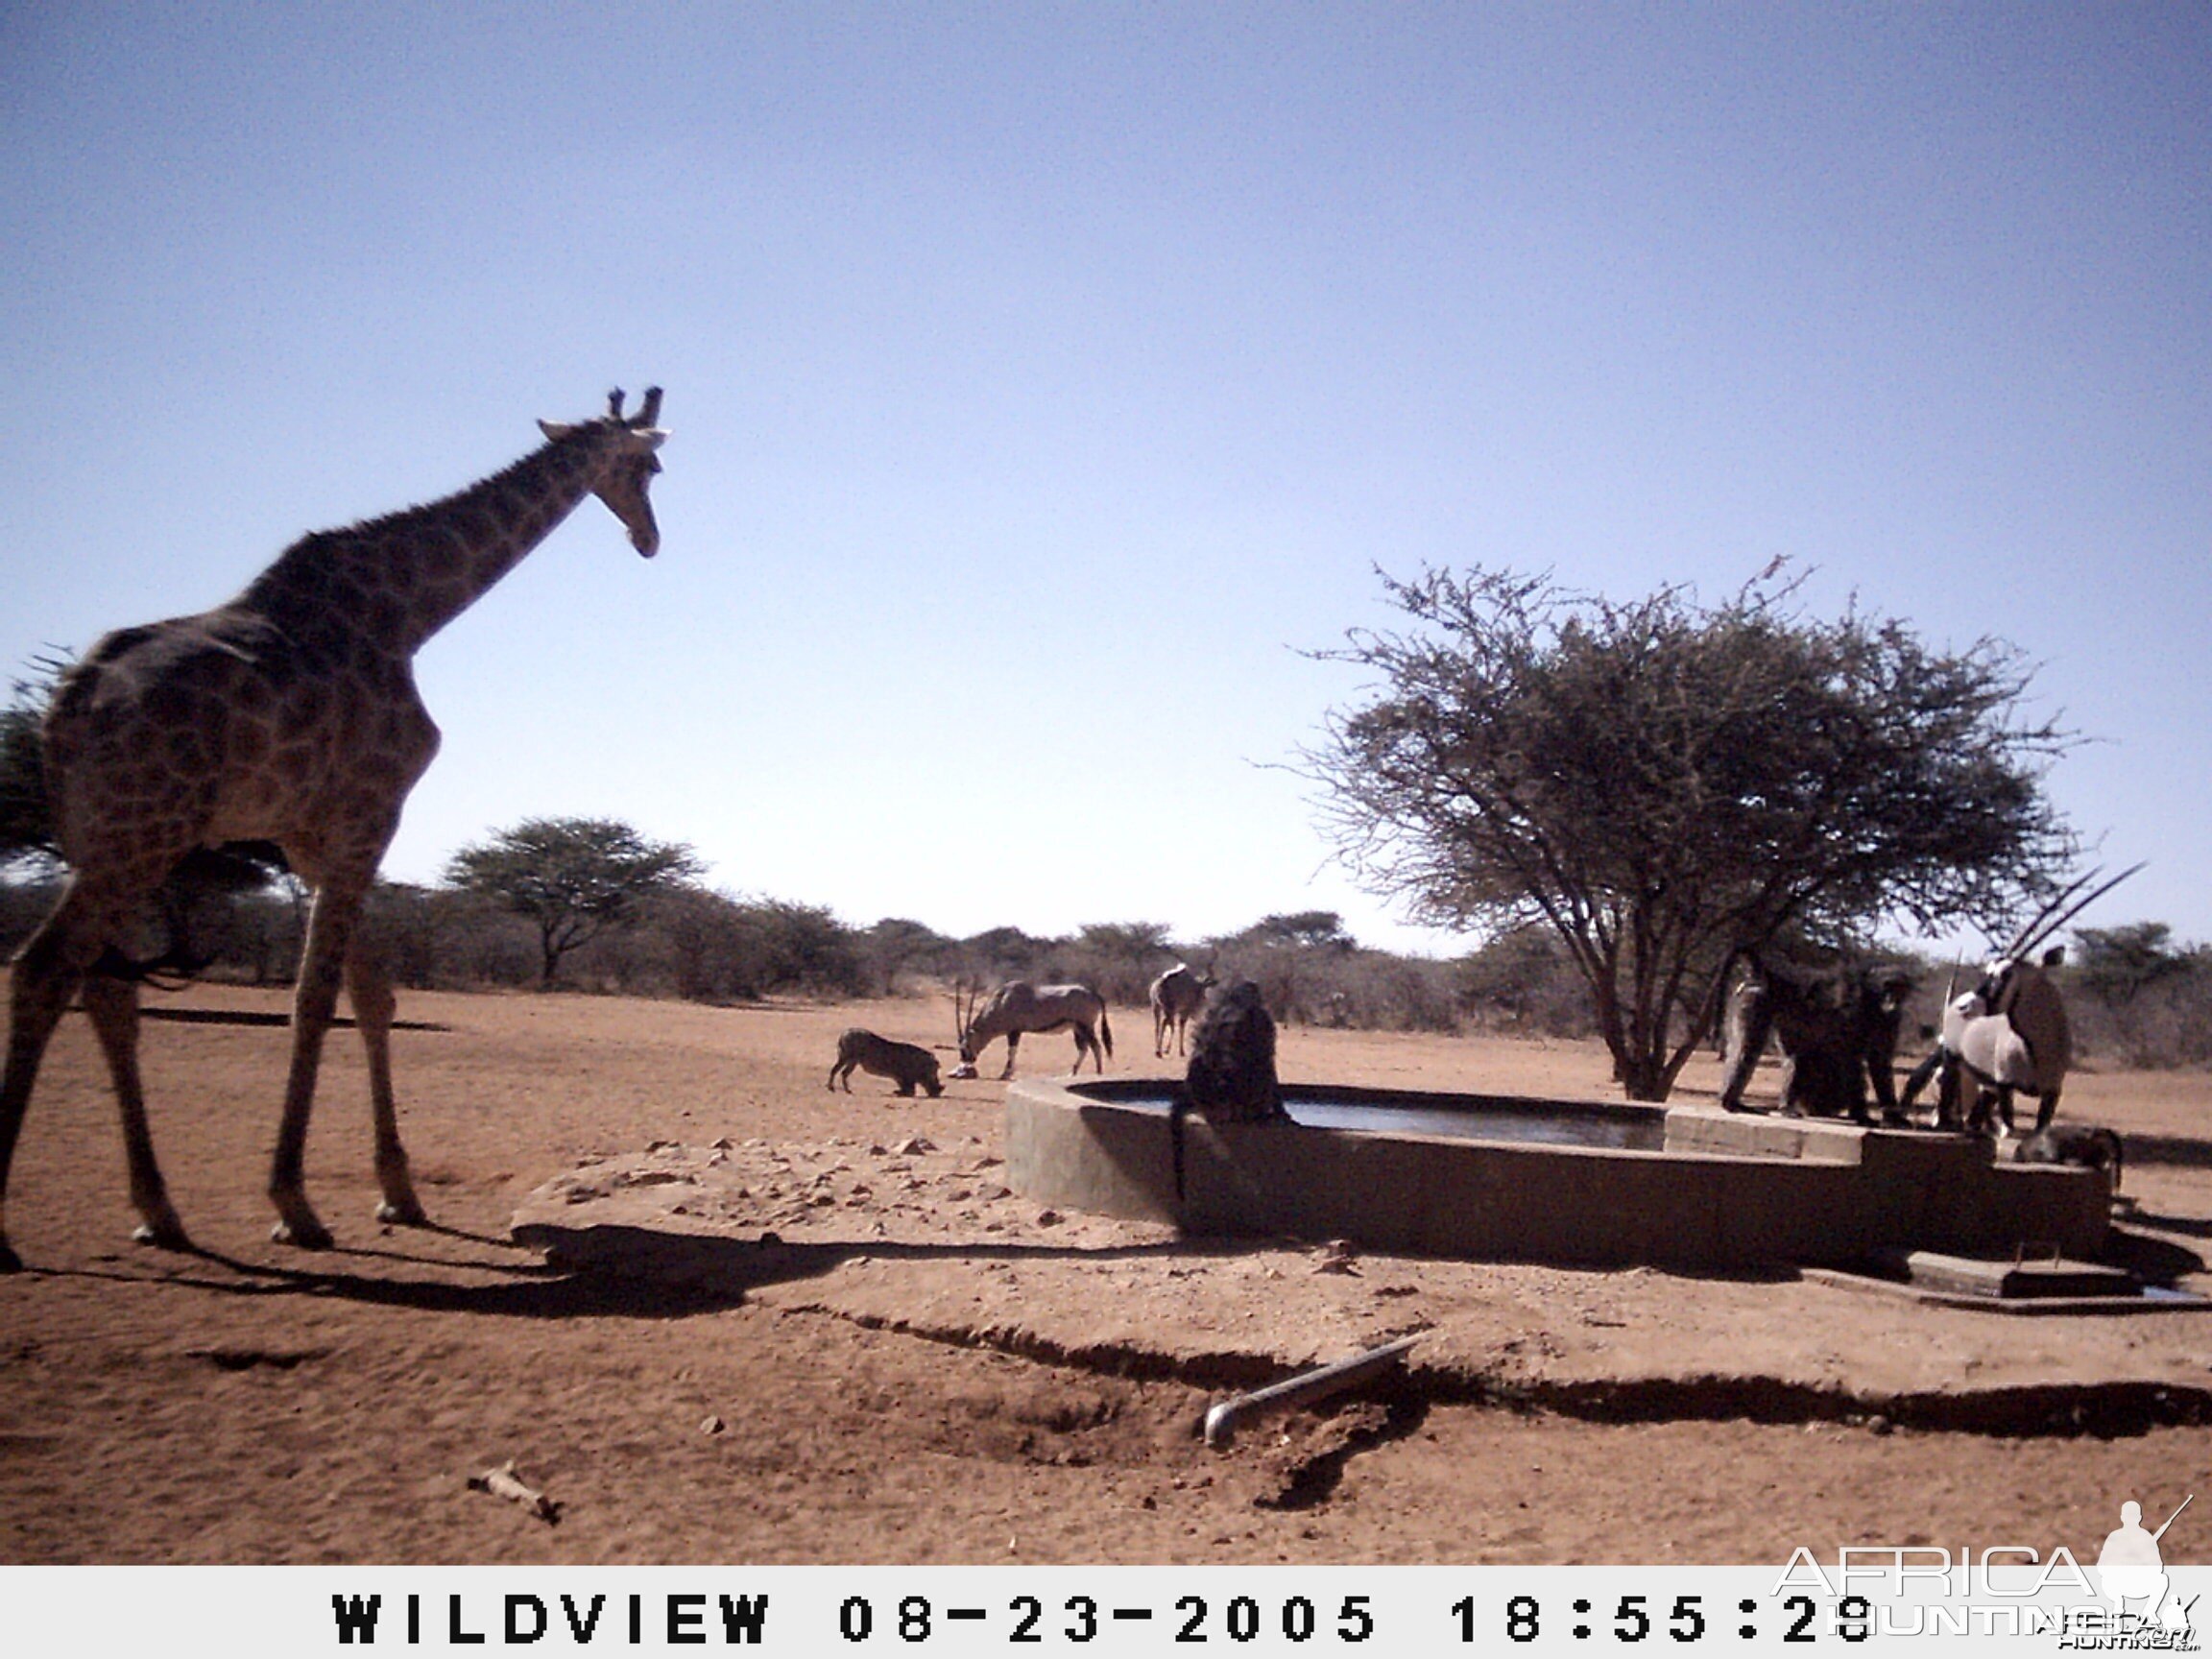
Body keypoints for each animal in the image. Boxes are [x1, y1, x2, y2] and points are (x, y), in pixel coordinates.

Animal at [2, 389, 672, 1274]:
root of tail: (69, 704)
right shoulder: (368, 815)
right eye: (650, 466)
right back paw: (9, 1230)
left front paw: (399, 1192)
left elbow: (371, 994)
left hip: (107, 841)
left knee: (108, 989)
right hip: (138, 838)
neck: (406, 616)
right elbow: (316, 997)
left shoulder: (314, 839)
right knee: (44, 970)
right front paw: (294, 1202)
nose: (649, 537)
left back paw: (158, 1210)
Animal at [955, 981, 1115, 1083]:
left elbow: (1011, 1051)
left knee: (1096, 1046)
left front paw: (1005, 1074)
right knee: (1084, 1048)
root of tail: (1094, 994)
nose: (966, 1063)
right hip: (1077, 1029)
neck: (1002, 1001)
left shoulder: (1014, 1031)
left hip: (1086, 1026)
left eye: (965, 1046)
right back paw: (1072, 1073)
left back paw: (1098, 1073)